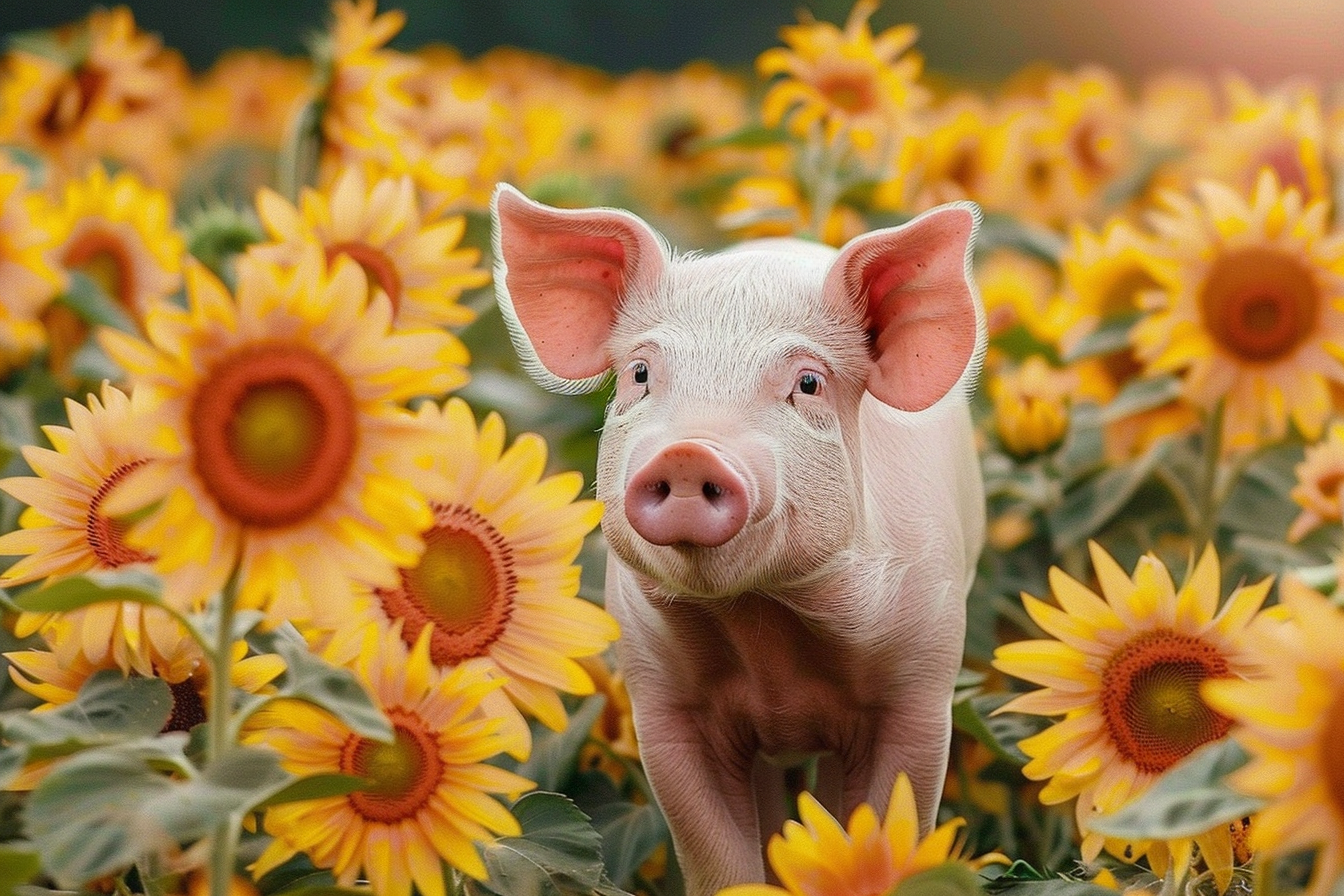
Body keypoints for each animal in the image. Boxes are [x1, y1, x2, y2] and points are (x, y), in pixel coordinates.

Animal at [490, 183, 986, 896]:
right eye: (639, 373)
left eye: (808, 382)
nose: (690, 452)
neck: (762, 627)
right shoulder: (663, 706)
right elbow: (716, 854)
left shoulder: (920, 690)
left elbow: (887, 822)